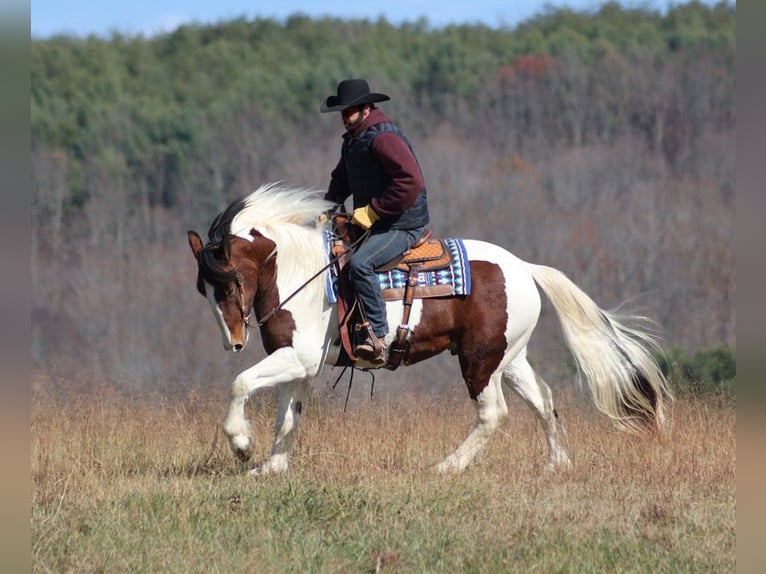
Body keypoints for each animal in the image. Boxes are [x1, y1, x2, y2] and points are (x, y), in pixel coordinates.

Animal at [189, 184, 676, 476]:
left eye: (229, 283)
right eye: (203, 289)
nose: (234, 342)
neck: (300, 272)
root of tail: (523, 267)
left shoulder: (298, 357)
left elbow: (240, 384)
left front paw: (241, 445)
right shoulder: (300, 365)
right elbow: (287, 416)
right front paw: (270, 467)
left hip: (479, 360)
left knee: (493, 412)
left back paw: (447, 467)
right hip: (509, 357)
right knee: (544, 401)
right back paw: (557, 465)